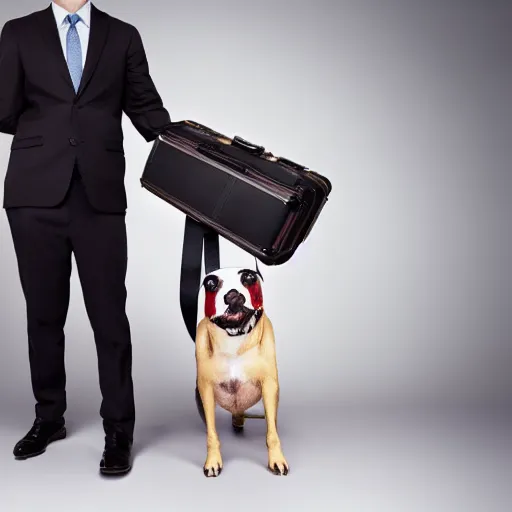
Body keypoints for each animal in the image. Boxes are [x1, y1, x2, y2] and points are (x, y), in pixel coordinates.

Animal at [194, 266, 288, 478]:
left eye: (249, 277)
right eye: (210, 283)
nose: (233, 295)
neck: (234, 341)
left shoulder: (270, 386)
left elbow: (272, 434)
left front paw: (276, 460)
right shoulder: (206, 390)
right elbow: (212, 434)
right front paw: (213, 461)